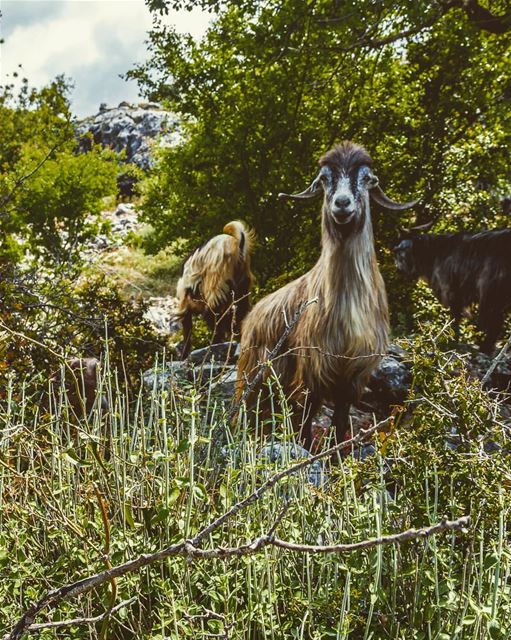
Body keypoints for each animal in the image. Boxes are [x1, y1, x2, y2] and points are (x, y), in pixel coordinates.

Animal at [176, 220, 256, 360]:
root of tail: (238, 245)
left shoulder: (185, 302)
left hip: (216, 285)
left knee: (215, 316)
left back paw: (215, 345)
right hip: (242, 288)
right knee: (242, 313)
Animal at [238, 141, 418, 450]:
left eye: (367, 179)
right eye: (324, 179)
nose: (342, 204)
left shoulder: (354, 374)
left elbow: (341, 420)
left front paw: (337, 453)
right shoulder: (313, 369)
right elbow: (307, 417)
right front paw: (304, 448)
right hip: (256, 373)